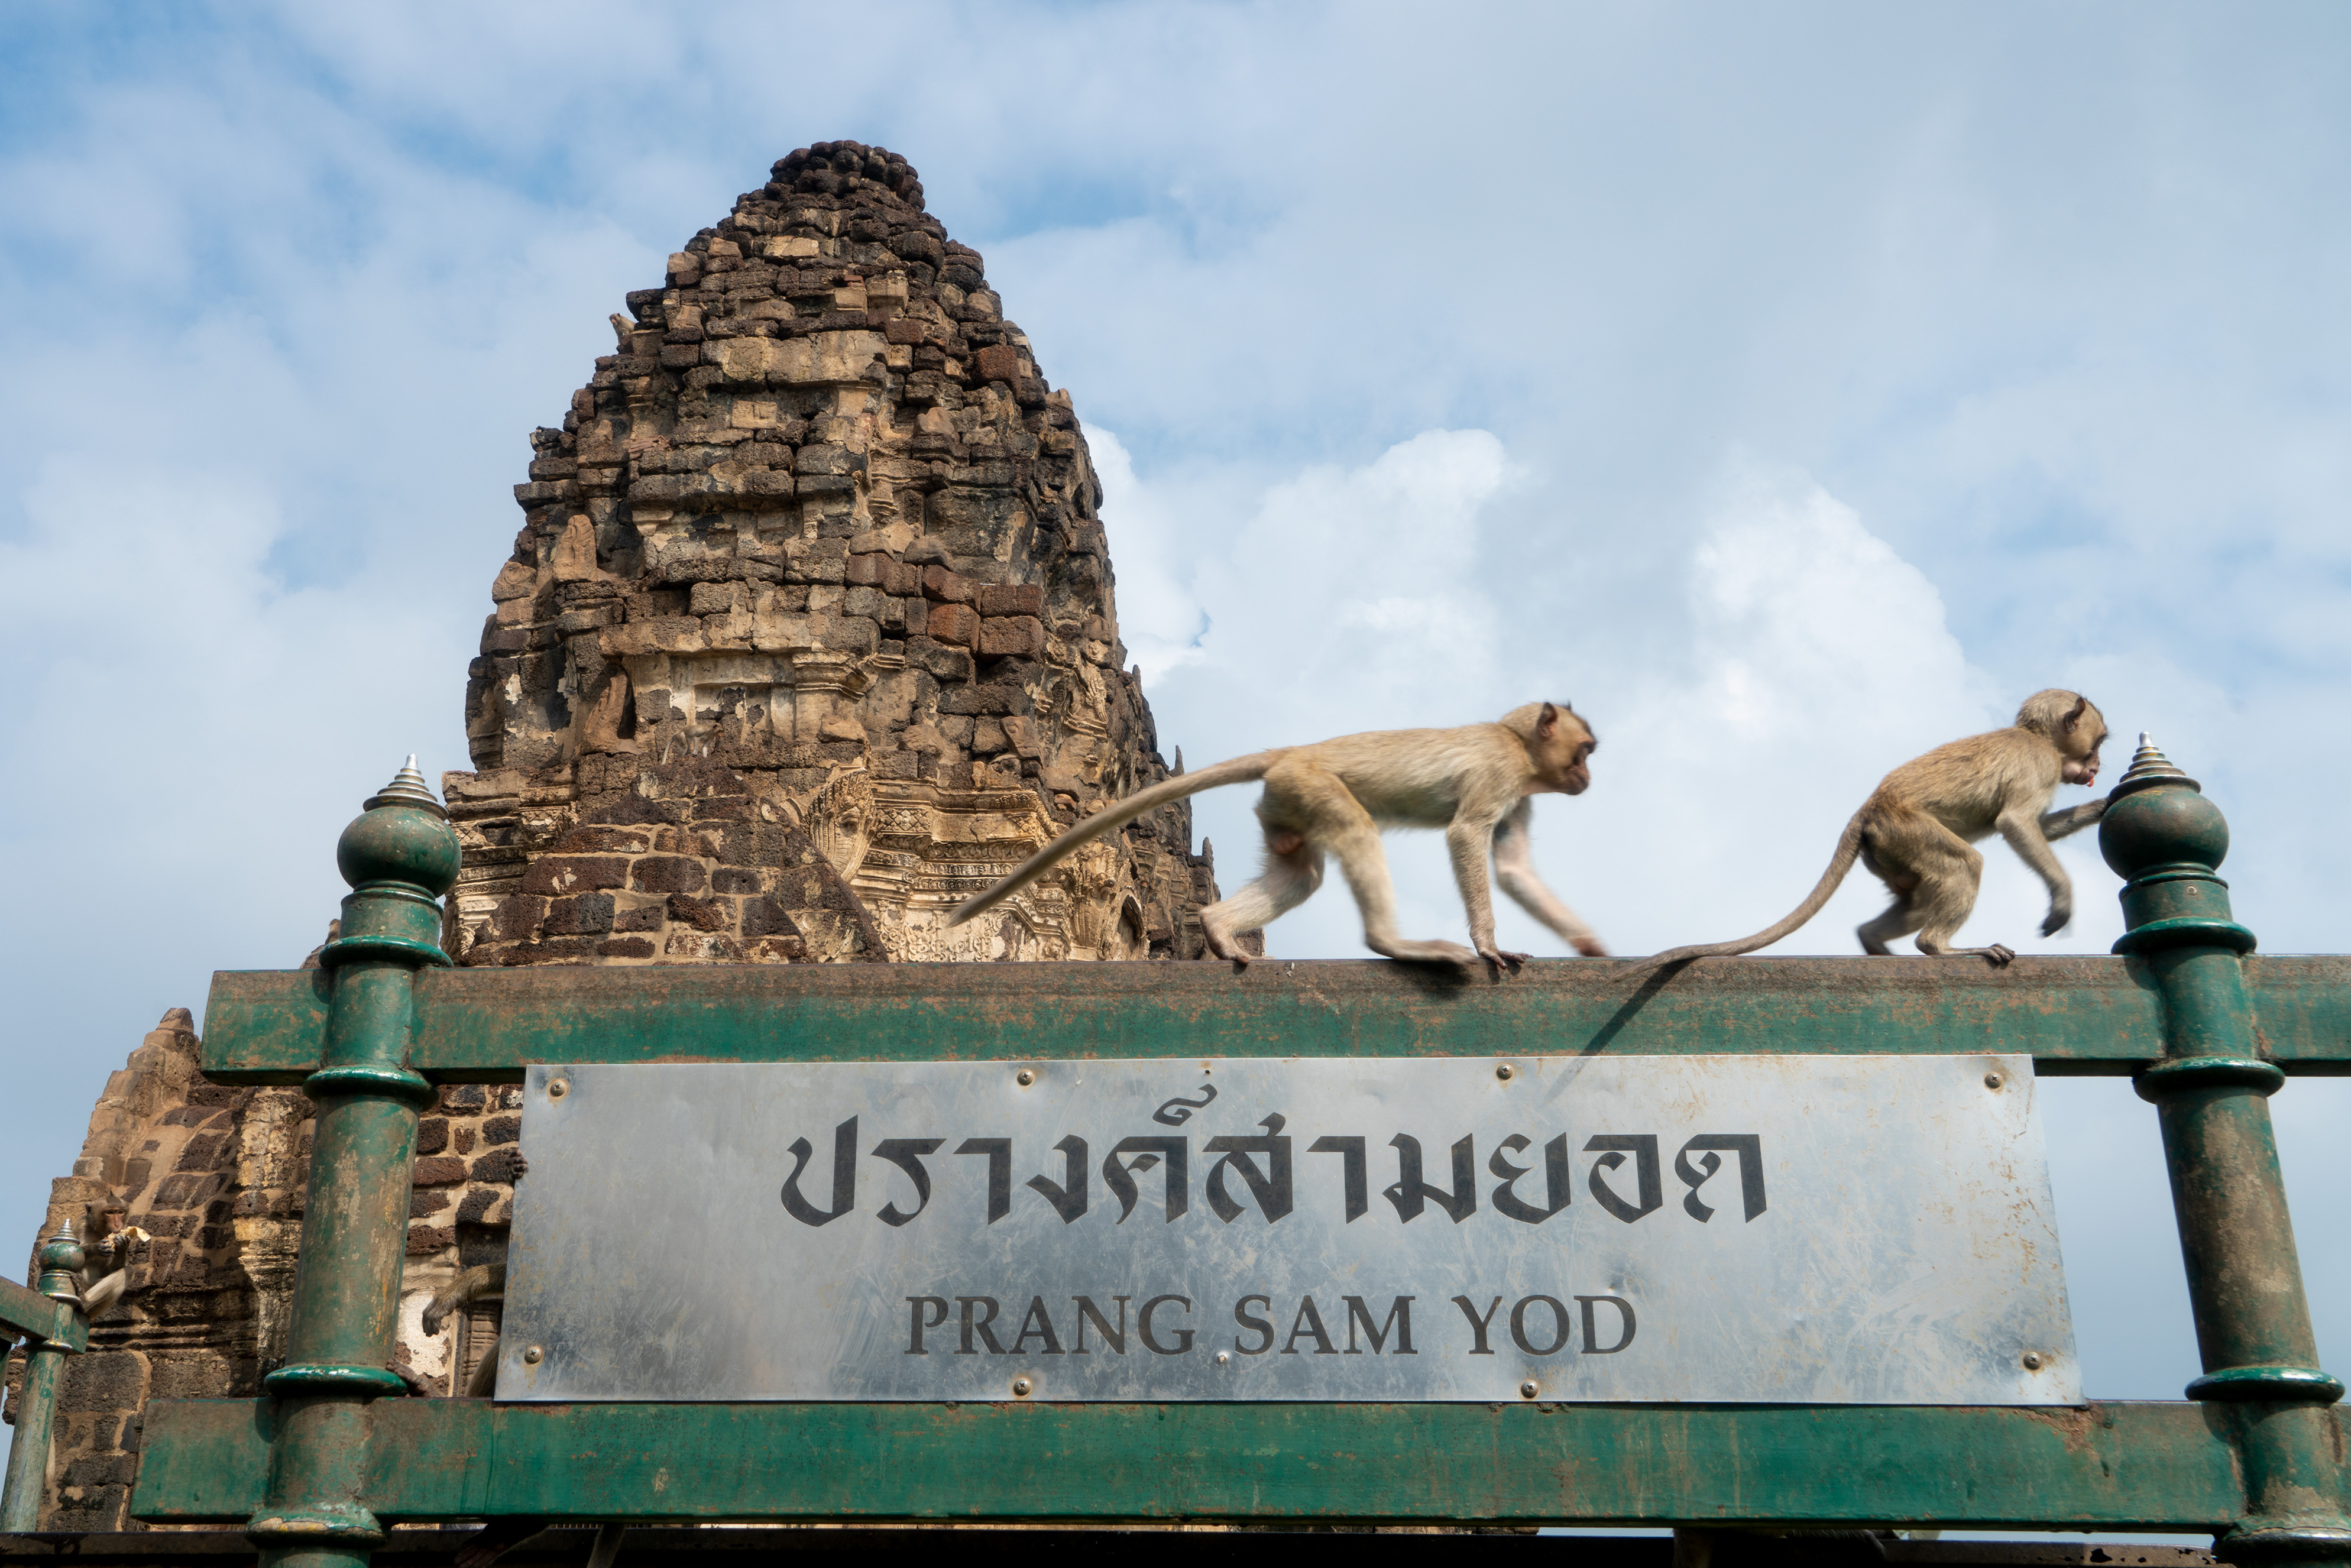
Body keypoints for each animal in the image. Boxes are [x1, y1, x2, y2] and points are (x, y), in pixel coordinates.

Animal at [945, 700, 1608, 968]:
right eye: (1585, 750)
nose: (1587, 777)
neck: (1516, 744)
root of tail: (1290, 751)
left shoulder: (1518, 794)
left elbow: (1514, 870)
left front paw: (1590, 945)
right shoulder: (1499, 775)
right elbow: (1467, 838)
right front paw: (1489, 946)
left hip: (1285, 804)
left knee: (1300, 874)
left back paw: (1217, 928)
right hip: (1312, 786)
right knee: (1357, 834)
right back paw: (1394, 944)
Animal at [1636, 691, 2116, 968]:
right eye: (2098, 743)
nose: (2096, 767)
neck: (2037, 738)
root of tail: (1867, 810)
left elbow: (2036, 827)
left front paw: (2102, 806)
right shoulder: (2040, 766)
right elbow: (2015, 824)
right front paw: (2062, 899)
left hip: (1888, 852)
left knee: (1919, 900)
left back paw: (1875, 941)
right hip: (1905, 831)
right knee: (1965, 865)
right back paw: (1939, 946)